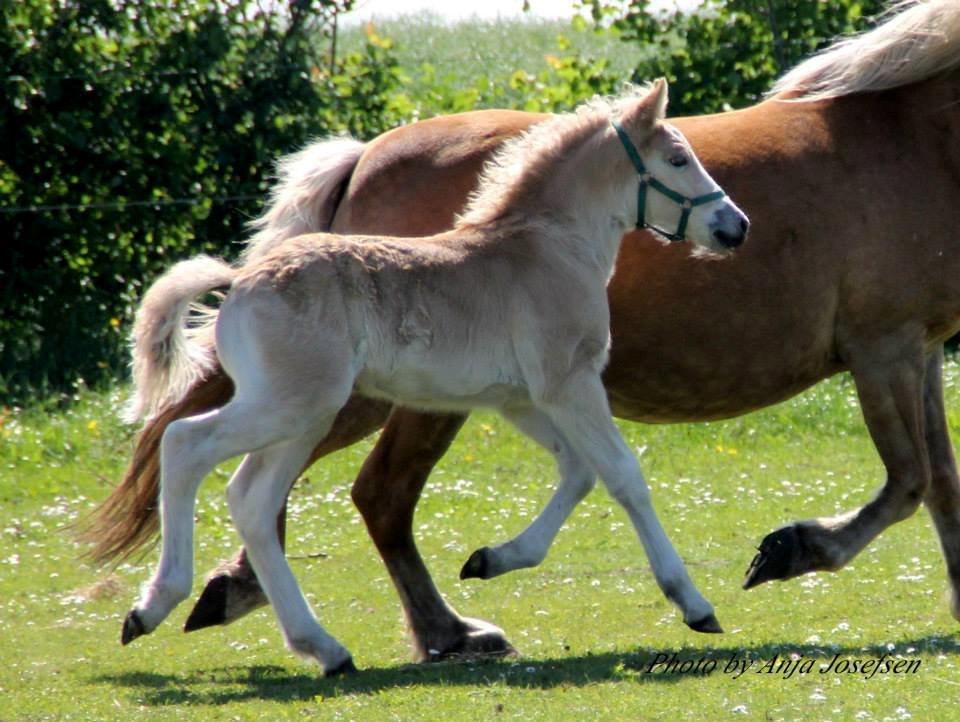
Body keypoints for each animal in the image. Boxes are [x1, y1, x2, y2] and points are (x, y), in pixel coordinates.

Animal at [86, 0, 960, 660]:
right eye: (678, 158)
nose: (736, 226)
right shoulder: (881, 347)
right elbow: (899, 480)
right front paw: (742, 576)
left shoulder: (528, 394)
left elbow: (939, 480)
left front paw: (497, 558)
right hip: (335, 405)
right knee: (252, 467)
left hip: (339, 408)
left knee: (266, 490)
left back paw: (297, 625)